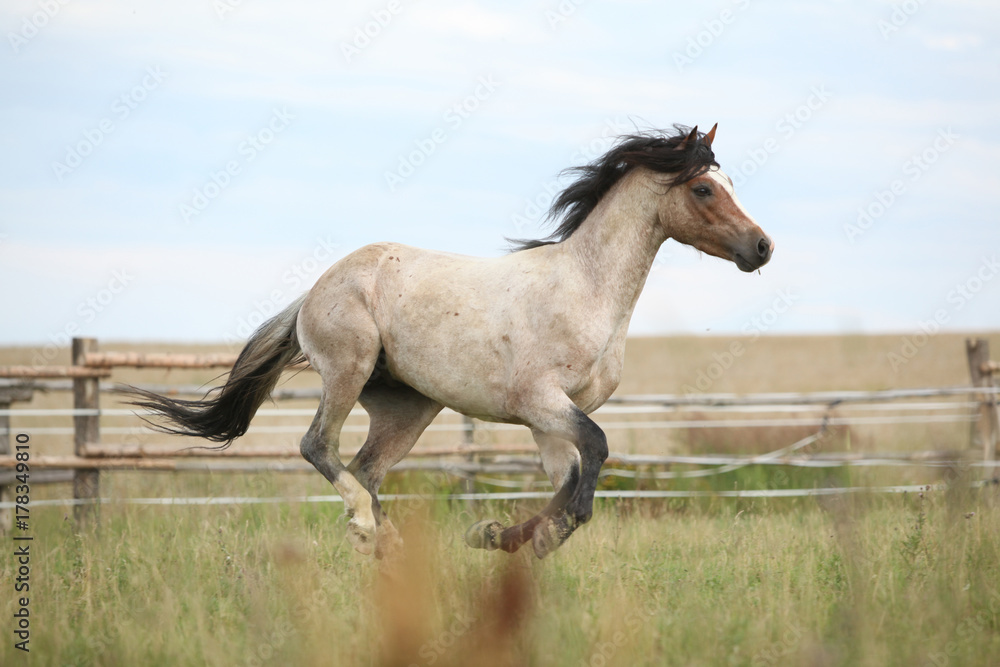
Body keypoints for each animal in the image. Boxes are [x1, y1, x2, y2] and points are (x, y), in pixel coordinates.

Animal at [125, 124, 773, 559]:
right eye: (704, 190)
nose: (762, 247)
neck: (586, 289)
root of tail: (315, 290)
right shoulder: (541, 403)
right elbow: (594, 455)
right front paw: (532, 538)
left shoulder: (550, 419)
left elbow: (568, 478)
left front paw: (497, 535)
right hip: (348, 369)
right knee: (320, 448)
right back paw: (366, 528)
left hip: (408, 407)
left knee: (365, 468)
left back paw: (386, 548)